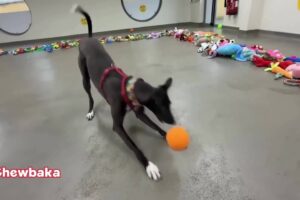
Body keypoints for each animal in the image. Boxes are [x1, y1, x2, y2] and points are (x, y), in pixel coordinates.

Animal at [72, 4, 176, 180]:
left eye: (169, 104)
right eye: (161, 105)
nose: (174, 122)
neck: (128, 89)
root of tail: (88, 38)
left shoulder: (140, 112)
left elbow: (155, 125)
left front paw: (167, 135)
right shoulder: (118, 127)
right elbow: (134, 147)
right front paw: (149, 165)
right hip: (84, 78)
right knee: (90, 96)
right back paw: (90, 111)